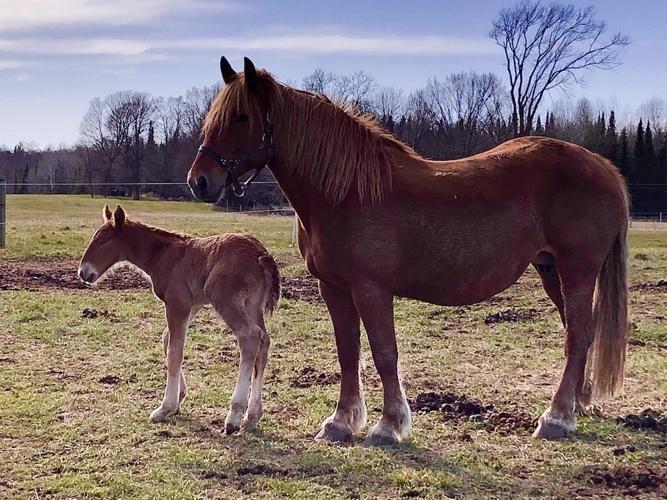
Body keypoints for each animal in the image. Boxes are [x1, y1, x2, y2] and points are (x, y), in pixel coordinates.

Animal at [78, 205, 280, 434]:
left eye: (103, 241)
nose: (83, 273)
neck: (164, 255)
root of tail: (261, 254)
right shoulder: (192, 305)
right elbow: (167, 340)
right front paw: (179, 398)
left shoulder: (177, 305)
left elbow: (175, 353)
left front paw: (165, 407)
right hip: (253, 305)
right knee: (264, 341)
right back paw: (252, 417)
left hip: (225, 301)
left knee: (250, 337)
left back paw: (234, 416)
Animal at [186, 57, 628, 445]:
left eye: (241, 117)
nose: (199, 181)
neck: (346, 192)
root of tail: (603, 167)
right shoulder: (334, 288)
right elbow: (348, 351)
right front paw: (341, 423)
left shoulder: (371, 289)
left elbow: (384, 354)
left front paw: (388, 426)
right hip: (551, 269)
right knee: (578, 332)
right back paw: (577, 405)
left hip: (576, 271)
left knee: (578, 335)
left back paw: (556, 417)